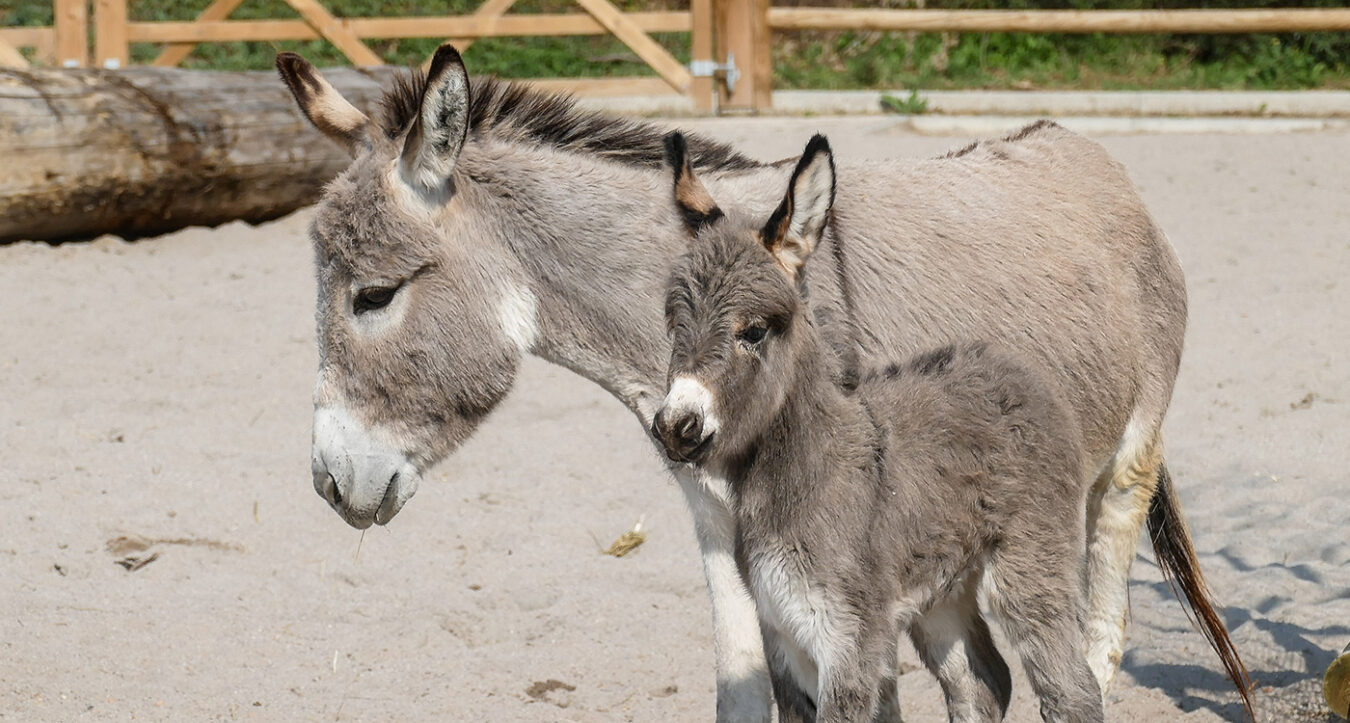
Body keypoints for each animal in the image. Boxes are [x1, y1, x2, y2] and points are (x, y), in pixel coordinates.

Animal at [653, 131, 1107, 723]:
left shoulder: (847, 642)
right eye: (673, 323)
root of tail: (1012, 366)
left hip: (1030, 566)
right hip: (940, 592)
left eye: (753, 331)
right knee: (982, 682)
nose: (675, 427)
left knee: (1071, 688)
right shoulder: (785, 640)